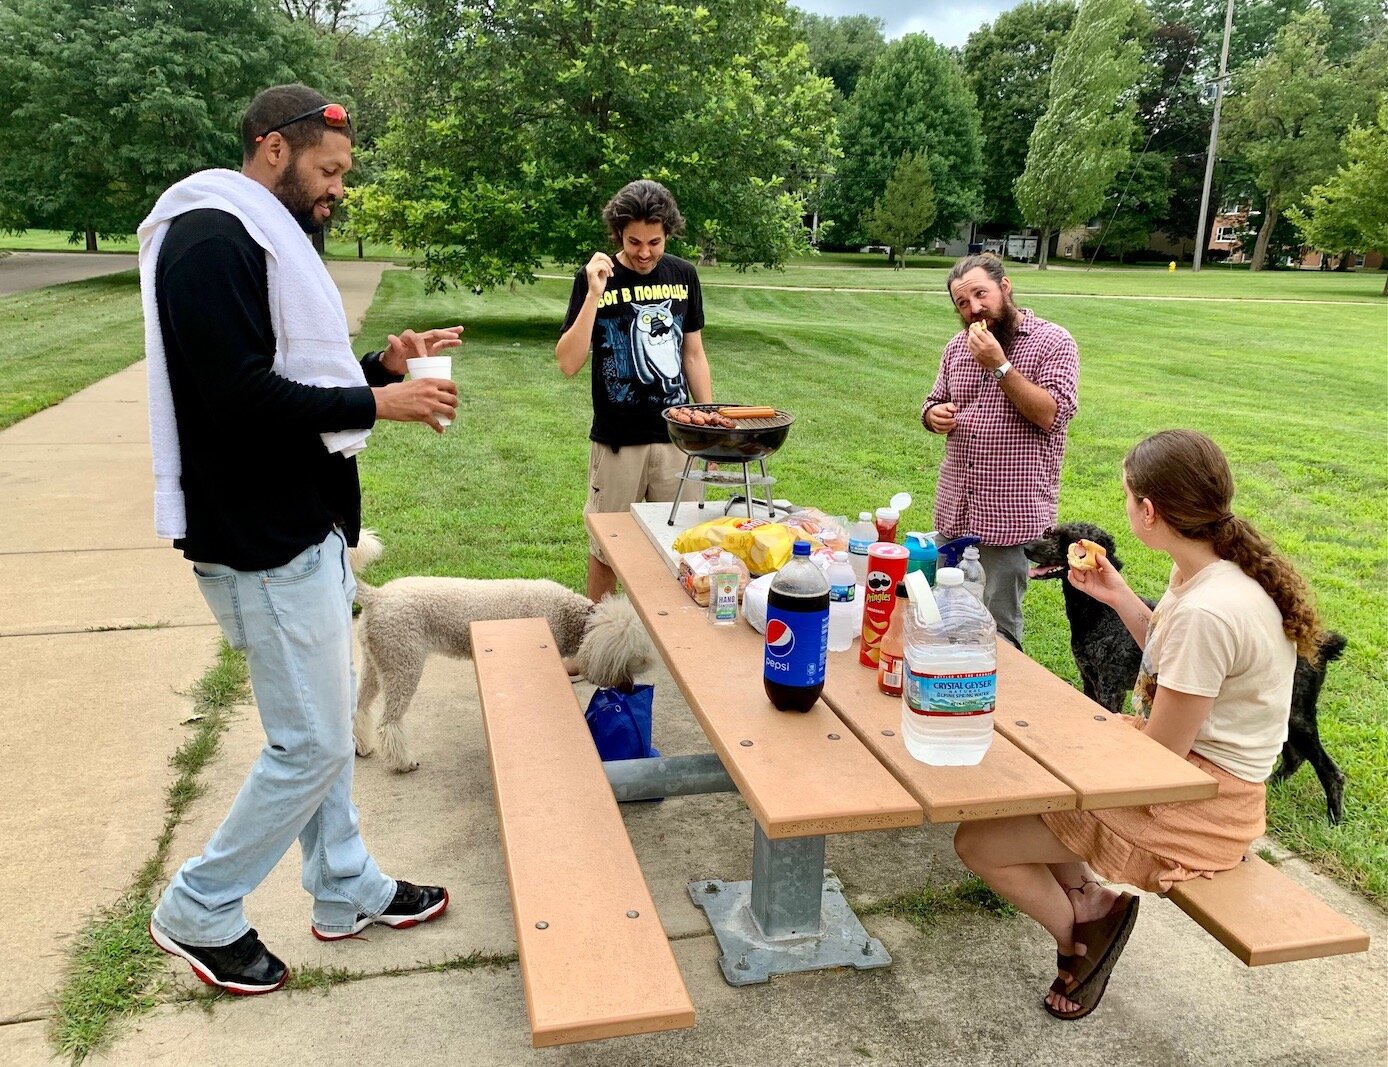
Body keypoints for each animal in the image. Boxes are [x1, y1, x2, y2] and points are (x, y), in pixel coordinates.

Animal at [347, 527, 649, 771]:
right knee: (389, 721)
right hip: (403, 664)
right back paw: (403, 762)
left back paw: (360, 746)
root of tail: (377, 596)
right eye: (627, 662)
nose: (630, 689)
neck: (568, 614)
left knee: (360, 705)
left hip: (378, 660)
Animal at [1021, 521, 1343, 821]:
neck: (1102, 613)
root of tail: (1320, 645)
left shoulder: (1109, 688)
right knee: (1295, 755)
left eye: (1071, 541)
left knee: (1328, 768)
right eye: (1052, 532)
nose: (1027, 547)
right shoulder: (1089, 679)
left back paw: (1334, 817)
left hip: (1296, 712)